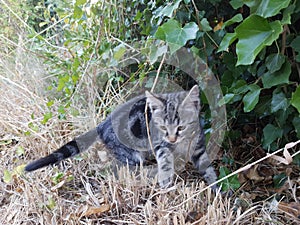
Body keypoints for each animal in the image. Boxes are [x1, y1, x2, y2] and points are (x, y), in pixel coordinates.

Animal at [24, 85, 217, 189]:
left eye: (181, 127)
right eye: (162, 127)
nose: (171, 139)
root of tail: (103, 123)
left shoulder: (199, 148)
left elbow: (208, 169)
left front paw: (218, 189)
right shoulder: (160, 145)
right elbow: (165, 161)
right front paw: (166, 182)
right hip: (130, 155)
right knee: (126, 169)